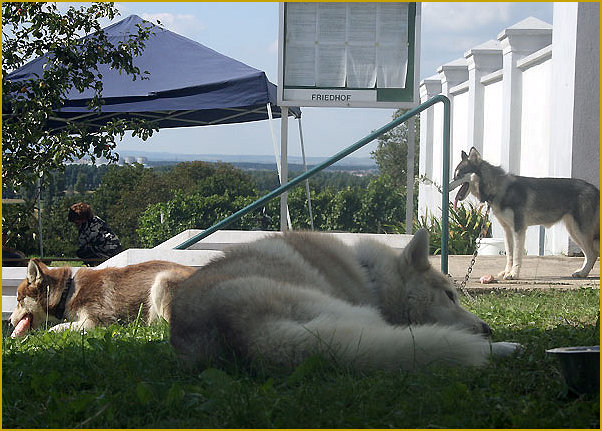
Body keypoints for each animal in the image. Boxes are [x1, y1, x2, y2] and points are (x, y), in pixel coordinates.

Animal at [8, 258, 195, 340]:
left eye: (18, 300)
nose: (9, 320)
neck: (68, 292)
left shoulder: (97, 321)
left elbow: (54, 329)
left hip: (162, 280)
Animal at [450, 148, 596, 280]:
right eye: (454, 175)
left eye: (459, 175)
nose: (446, 186)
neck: (498, 188)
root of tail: (595, 189)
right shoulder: (507, 230)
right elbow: (509, 255)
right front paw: (507, 272)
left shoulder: (519, 229)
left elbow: (516, 255)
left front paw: (513, 274)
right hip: (574, 231)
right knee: (591, 254)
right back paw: (582, 273)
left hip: (579, 232)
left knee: (593, 254)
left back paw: (583, 273)